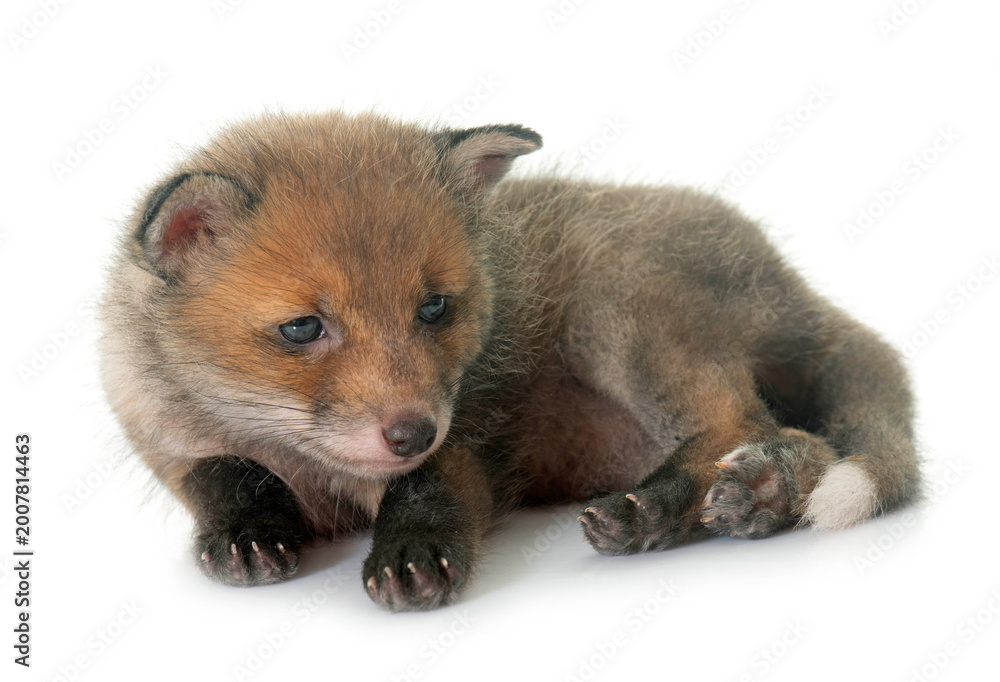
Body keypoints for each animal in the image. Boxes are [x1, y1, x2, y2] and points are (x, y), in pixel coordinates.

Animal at [98, 111, 920, 611]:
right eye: (303, 328)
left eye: (434, 308)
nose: (409, 433)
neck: (321, 471)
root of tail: (785, 274)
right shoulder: (164, 435)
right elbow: (224, 477)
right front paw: (245, 533)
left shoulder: (475, 425)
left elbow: (430, 487)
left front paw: (412, 552)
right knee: (798, 439)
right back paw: (733, 502)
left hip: (619, 310)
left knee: (754, 426)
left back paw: (683, 505)